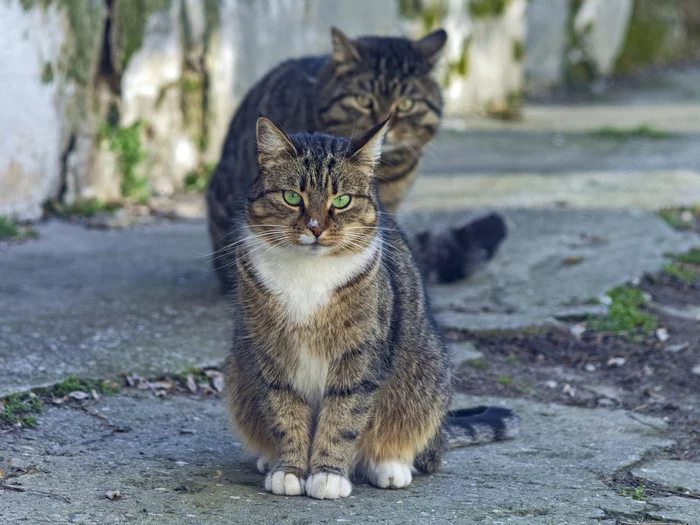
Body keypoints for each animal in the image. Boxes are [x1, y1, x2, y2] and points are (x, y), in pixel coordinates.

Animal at [224, 117, 520, 500]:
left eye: (342, 200)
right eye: (292, 197)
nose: (316, 229)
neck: (307, 275)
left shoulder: (361, 354)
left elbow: (343, 416)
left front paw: (327, 475)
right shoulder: (270, 353)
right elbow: (285, 412)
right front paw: (289, 470)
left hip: (426, 378)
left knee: (416, 447)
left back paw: (390, 466)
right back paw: (268, 458)